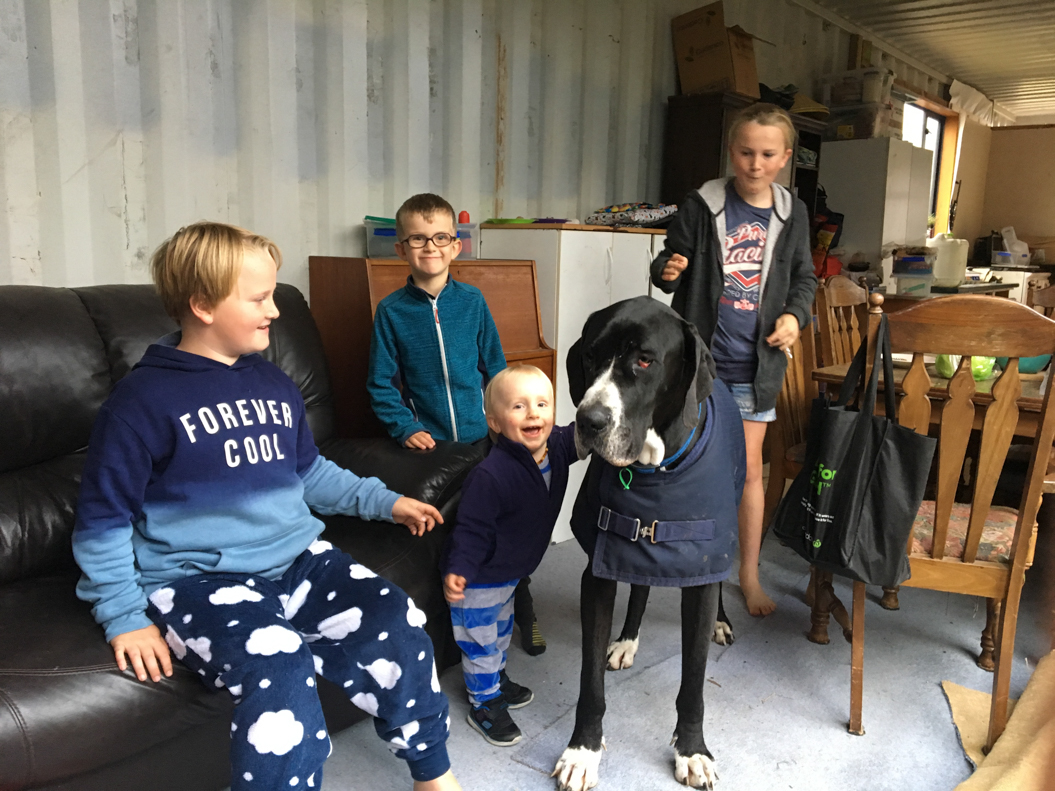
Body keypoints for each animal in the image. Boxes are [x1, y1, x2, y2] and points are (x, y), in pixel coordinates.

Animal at [552, 296, 746, 790]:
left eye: (644, 361)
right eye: (590, 356)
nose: (588, 421)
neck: (652, 471)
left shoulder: (700, 574)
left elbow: (693, 680)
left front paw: (692, 751)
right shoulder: (600, 571)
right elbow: (590, 684)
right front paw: (582, 751)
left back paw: (722, 622)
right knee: (639, 583)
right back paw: (626, 640)